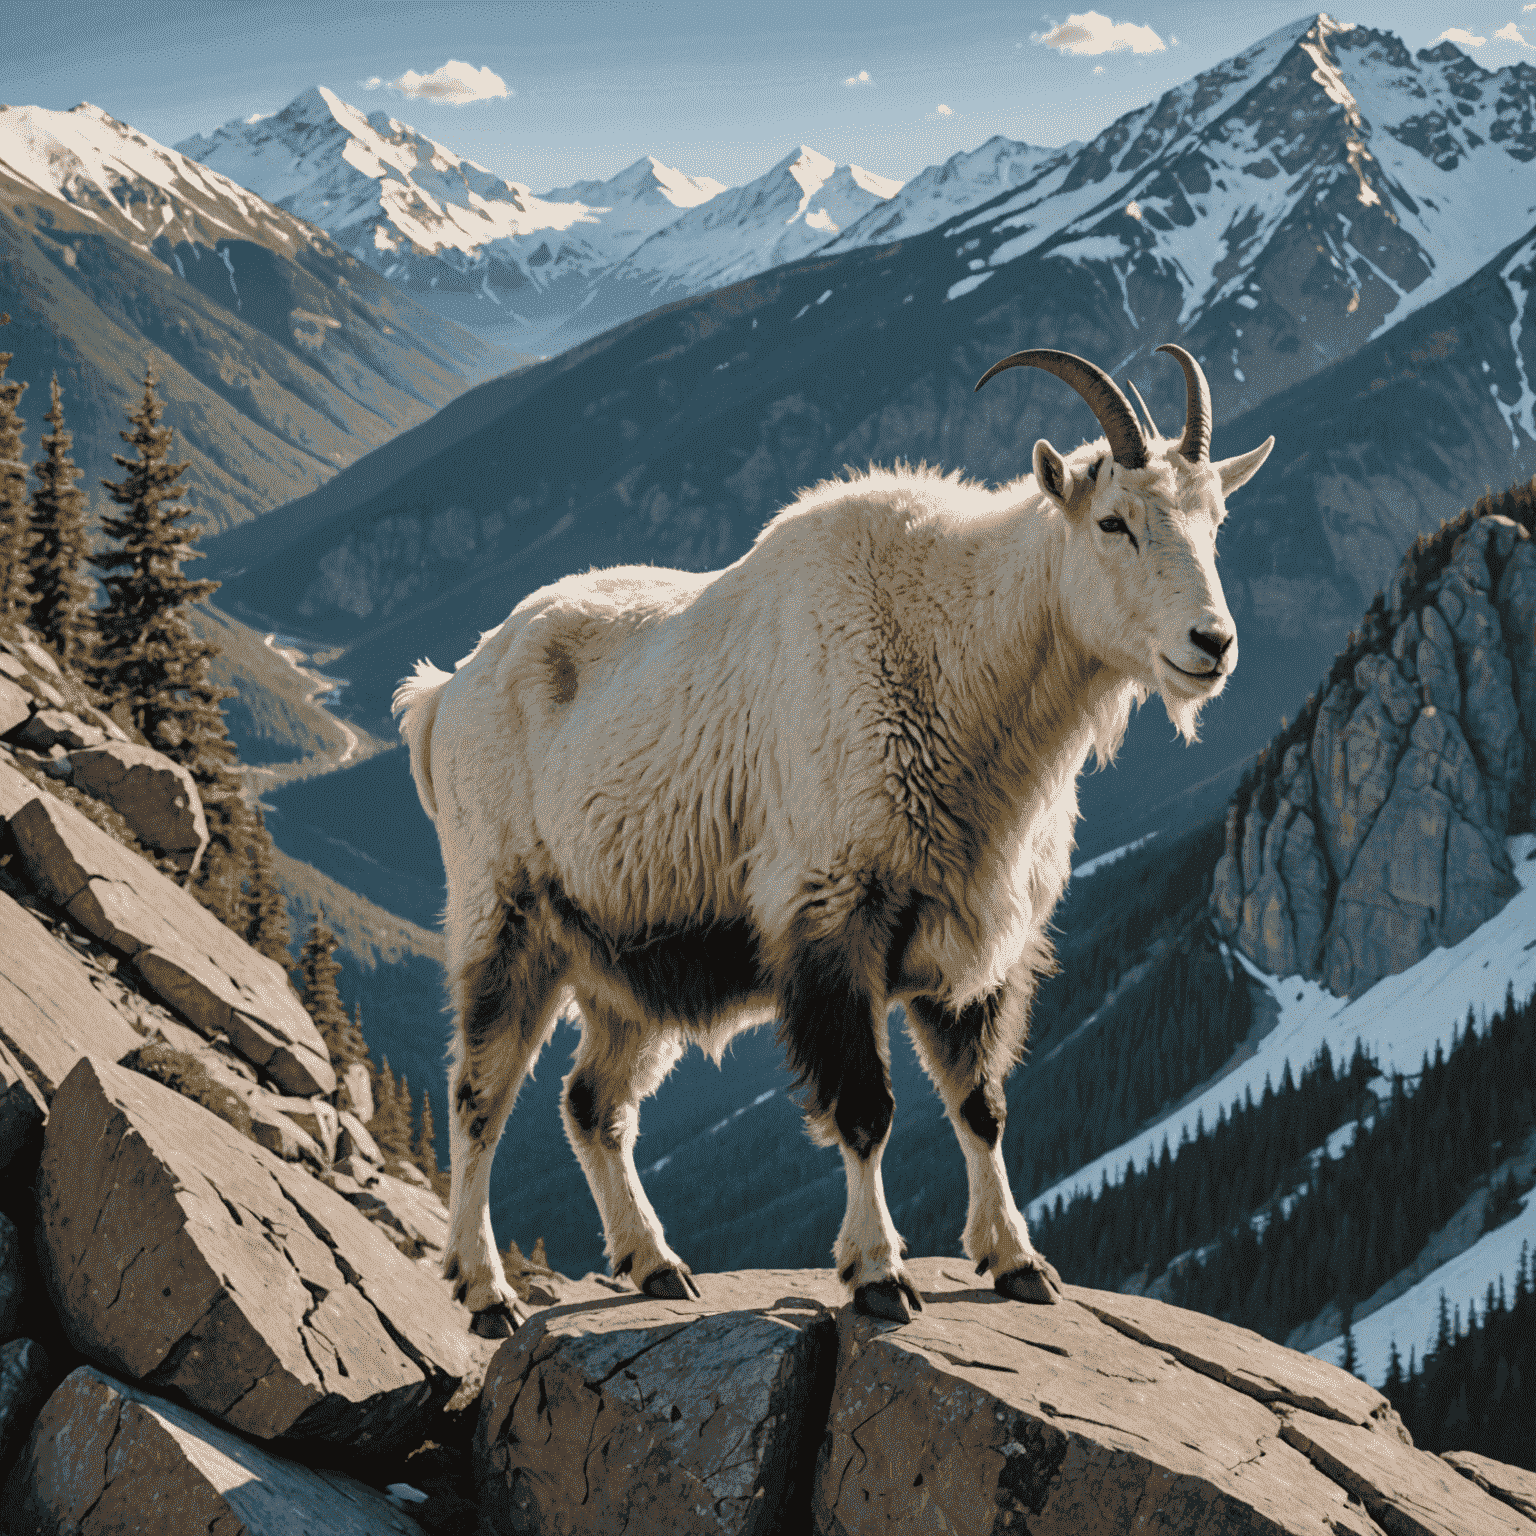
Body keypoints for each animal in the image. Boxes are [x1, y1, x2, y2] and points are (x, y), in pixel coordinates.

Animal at [396, 348, 1271, 1333]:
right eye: (1115, 521)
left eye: (1216, 521)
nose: (1212, 643)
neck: (952, 649)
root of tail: (446, 692)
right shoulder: (833, 917)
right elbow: (865, 1108)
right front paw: (879, 1274)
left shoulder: (980, 944)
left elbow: (982, 1105)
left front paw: (1017, 1261)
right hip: (504, 917)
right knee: (478, 1098)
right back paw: (486, 1288)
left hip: (623, 966)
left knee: (593, 1104)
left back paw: (655, 1263)